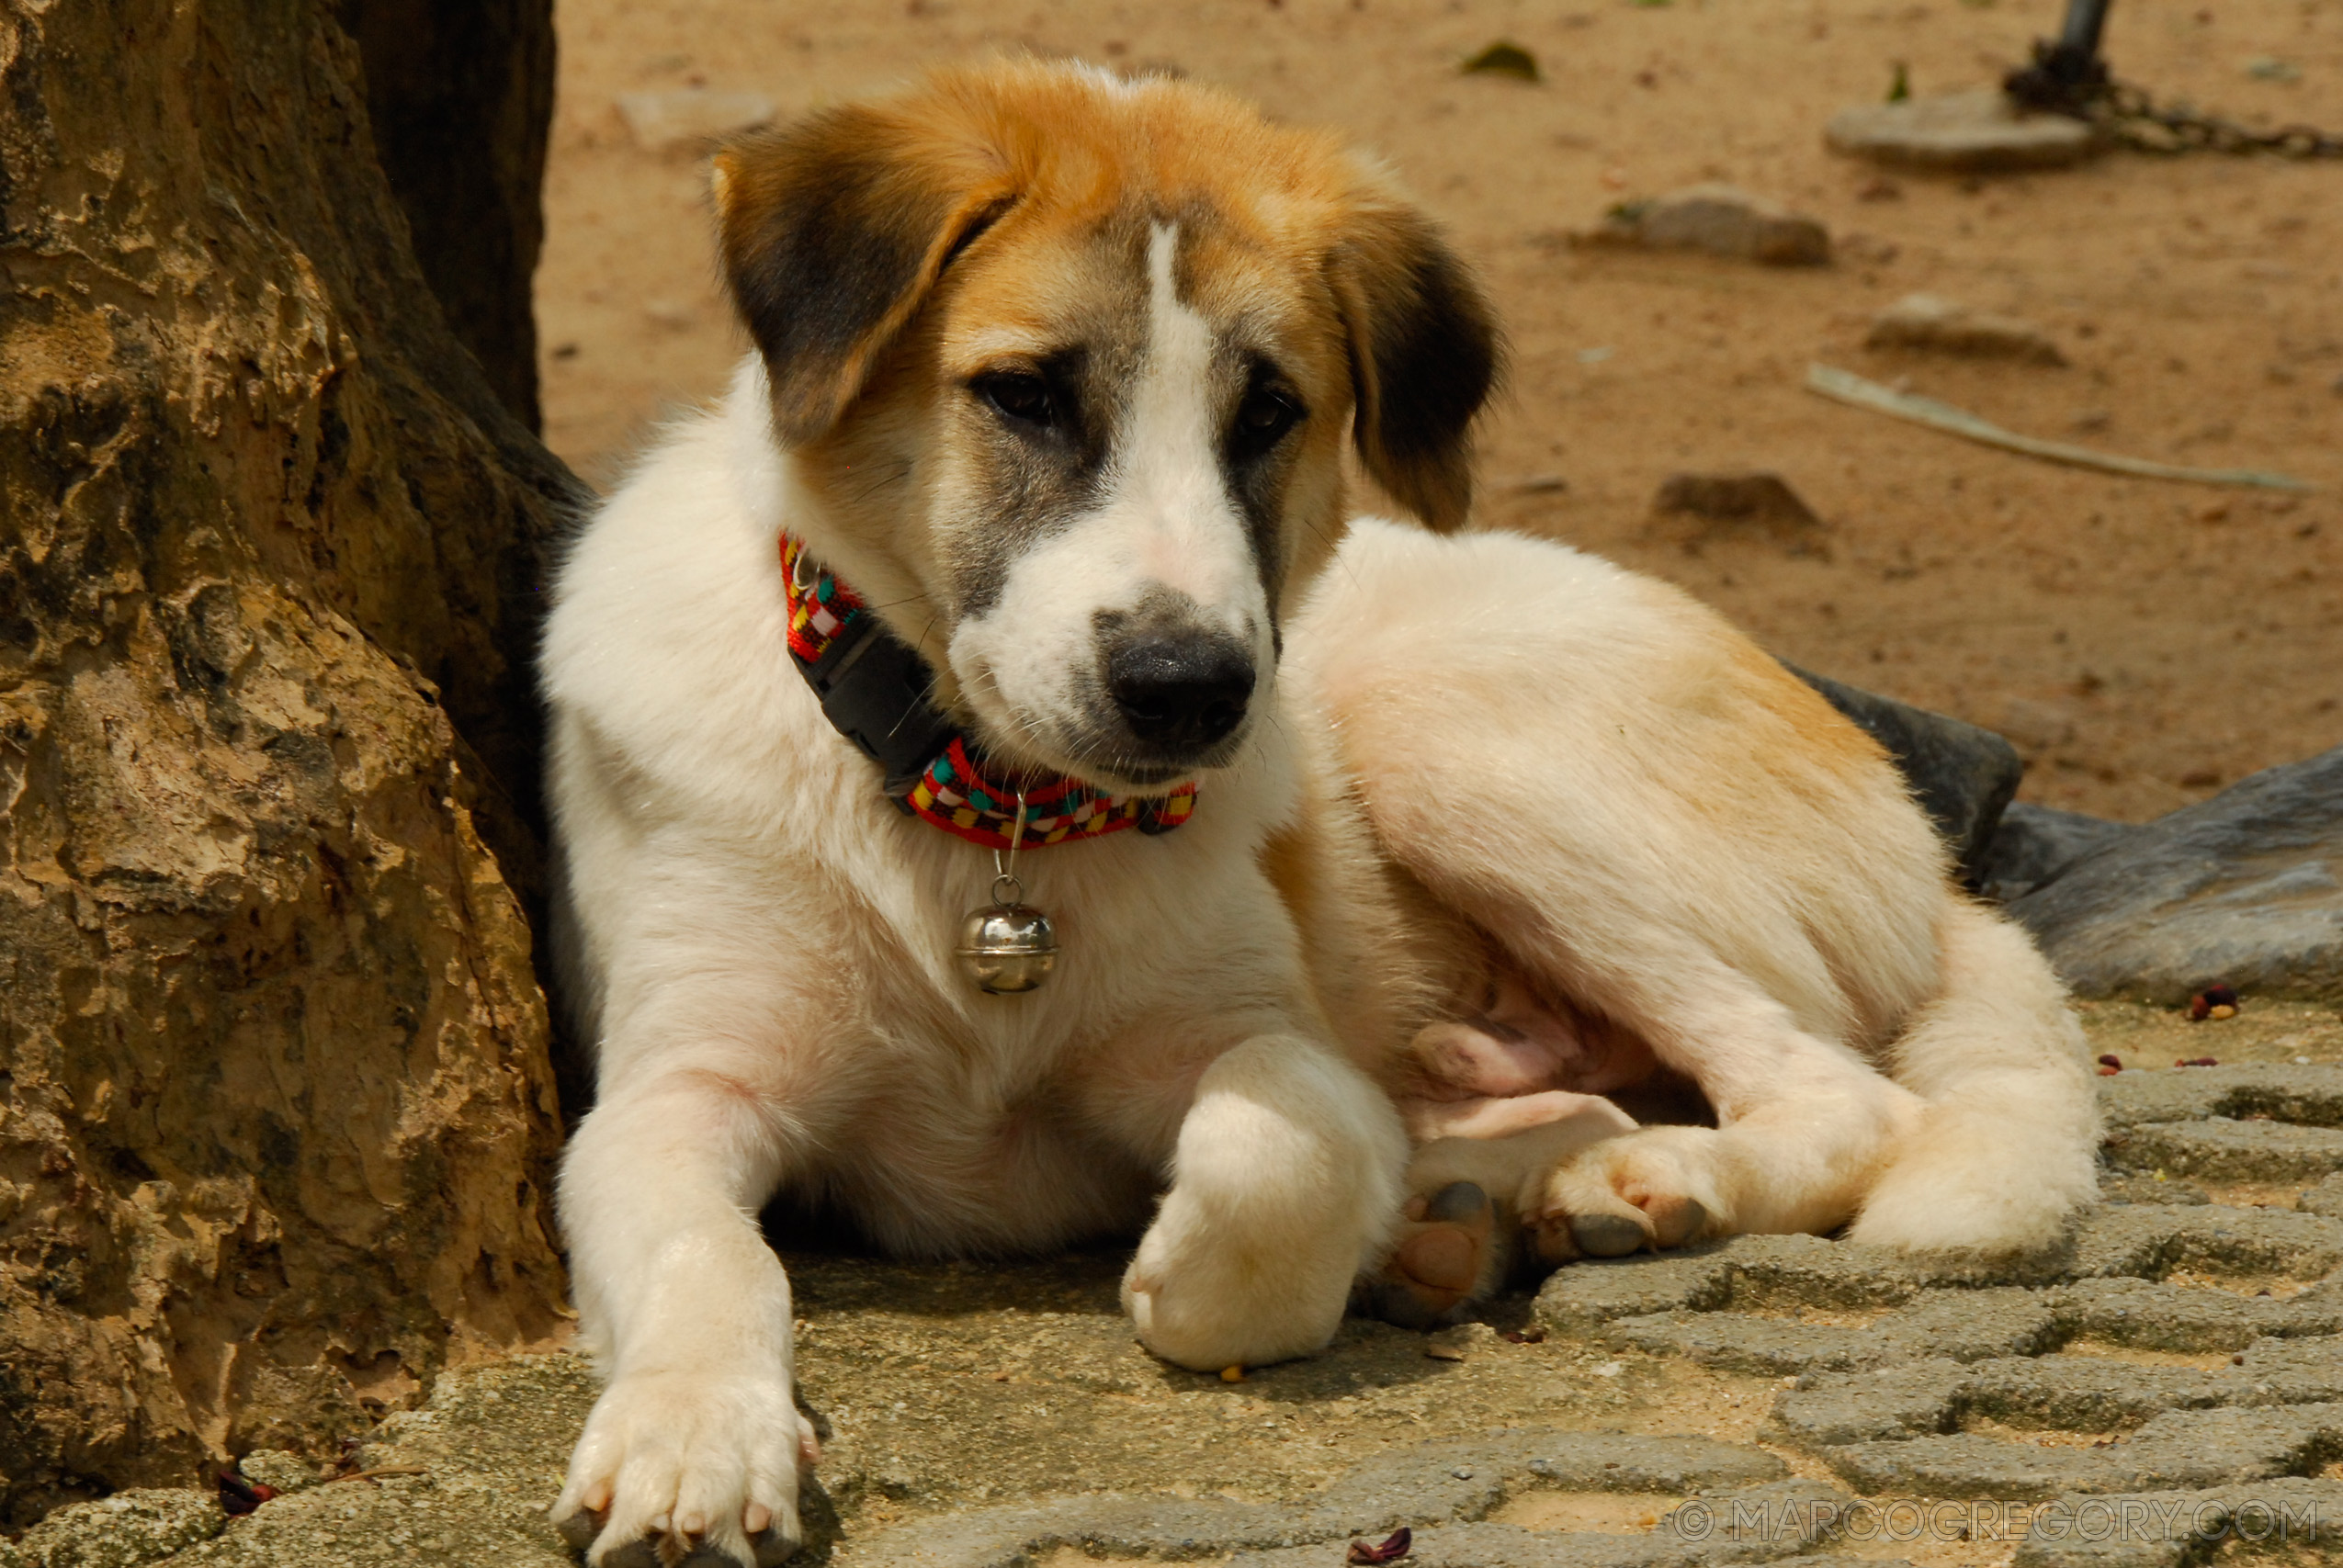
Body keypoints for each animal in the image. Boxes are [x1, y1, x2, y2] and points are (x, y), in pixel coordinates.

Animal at [548, 61, 2109, 1565]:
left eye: (1268, 413)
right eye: (1026, 395)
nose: (1188, 688)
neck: (996, 834)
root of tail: (1927, 853)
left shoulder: (1258, 1029)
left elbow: (1284, 1143)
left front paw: (1200, 1275)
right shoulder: (672, 1093)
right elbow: (709, 1257)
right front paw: (692, 1433)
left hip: (1446, 728)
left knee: (1837, 1094)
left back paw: (1629, 1179)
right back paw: (1480, 1192)